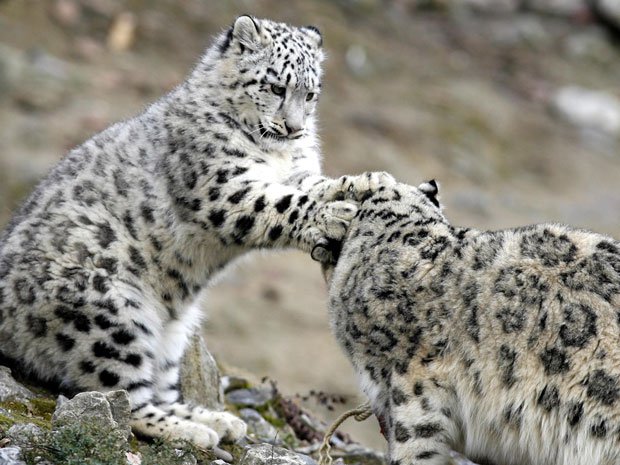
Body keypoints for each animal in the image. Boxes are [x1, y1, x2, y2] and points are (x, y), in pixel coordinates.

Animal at [0, 16, 394, 448]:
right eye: (276, 87)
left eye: (310, 94)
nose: (294, 128)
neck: (277, 154)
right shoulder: (223, 186)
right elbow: (281, 203)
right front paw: (331, 214)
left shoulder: (297, 173)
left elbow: (315, 185)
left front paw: (369, 180)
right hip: (110, 314)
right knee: (123, 398)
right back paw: (192, 430)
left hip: (174, 334)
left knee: (158, 387)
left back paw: (216, 420)